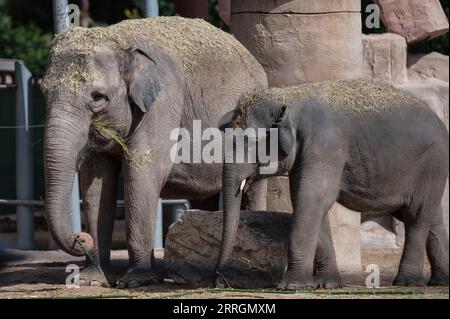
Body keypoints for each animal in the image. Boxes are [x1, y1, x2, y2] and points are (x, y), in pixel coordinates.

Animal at [41, 16, 268, 288]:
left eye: (98, 98)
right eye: (44, 92)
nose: (80, 237)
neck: (120, 40)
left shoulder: (163, 102)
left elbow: (142, 175)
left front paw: (136, 281)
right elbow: (96, 184)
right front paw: (91, 281)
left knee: (254, 187)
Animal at [215, 80, 450, 290]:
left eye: (250, 142)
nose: (220, 281)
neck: (290, 96)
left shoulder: (325, 145)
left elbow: (311, 199)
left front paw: (292, 286)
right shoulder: (305, 154)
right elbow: (310, 202)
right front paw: (330, 285)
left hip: (433, 163)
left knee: (416, 215)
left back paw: (407, 282)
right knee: (431, 216)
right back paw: (440, 281)